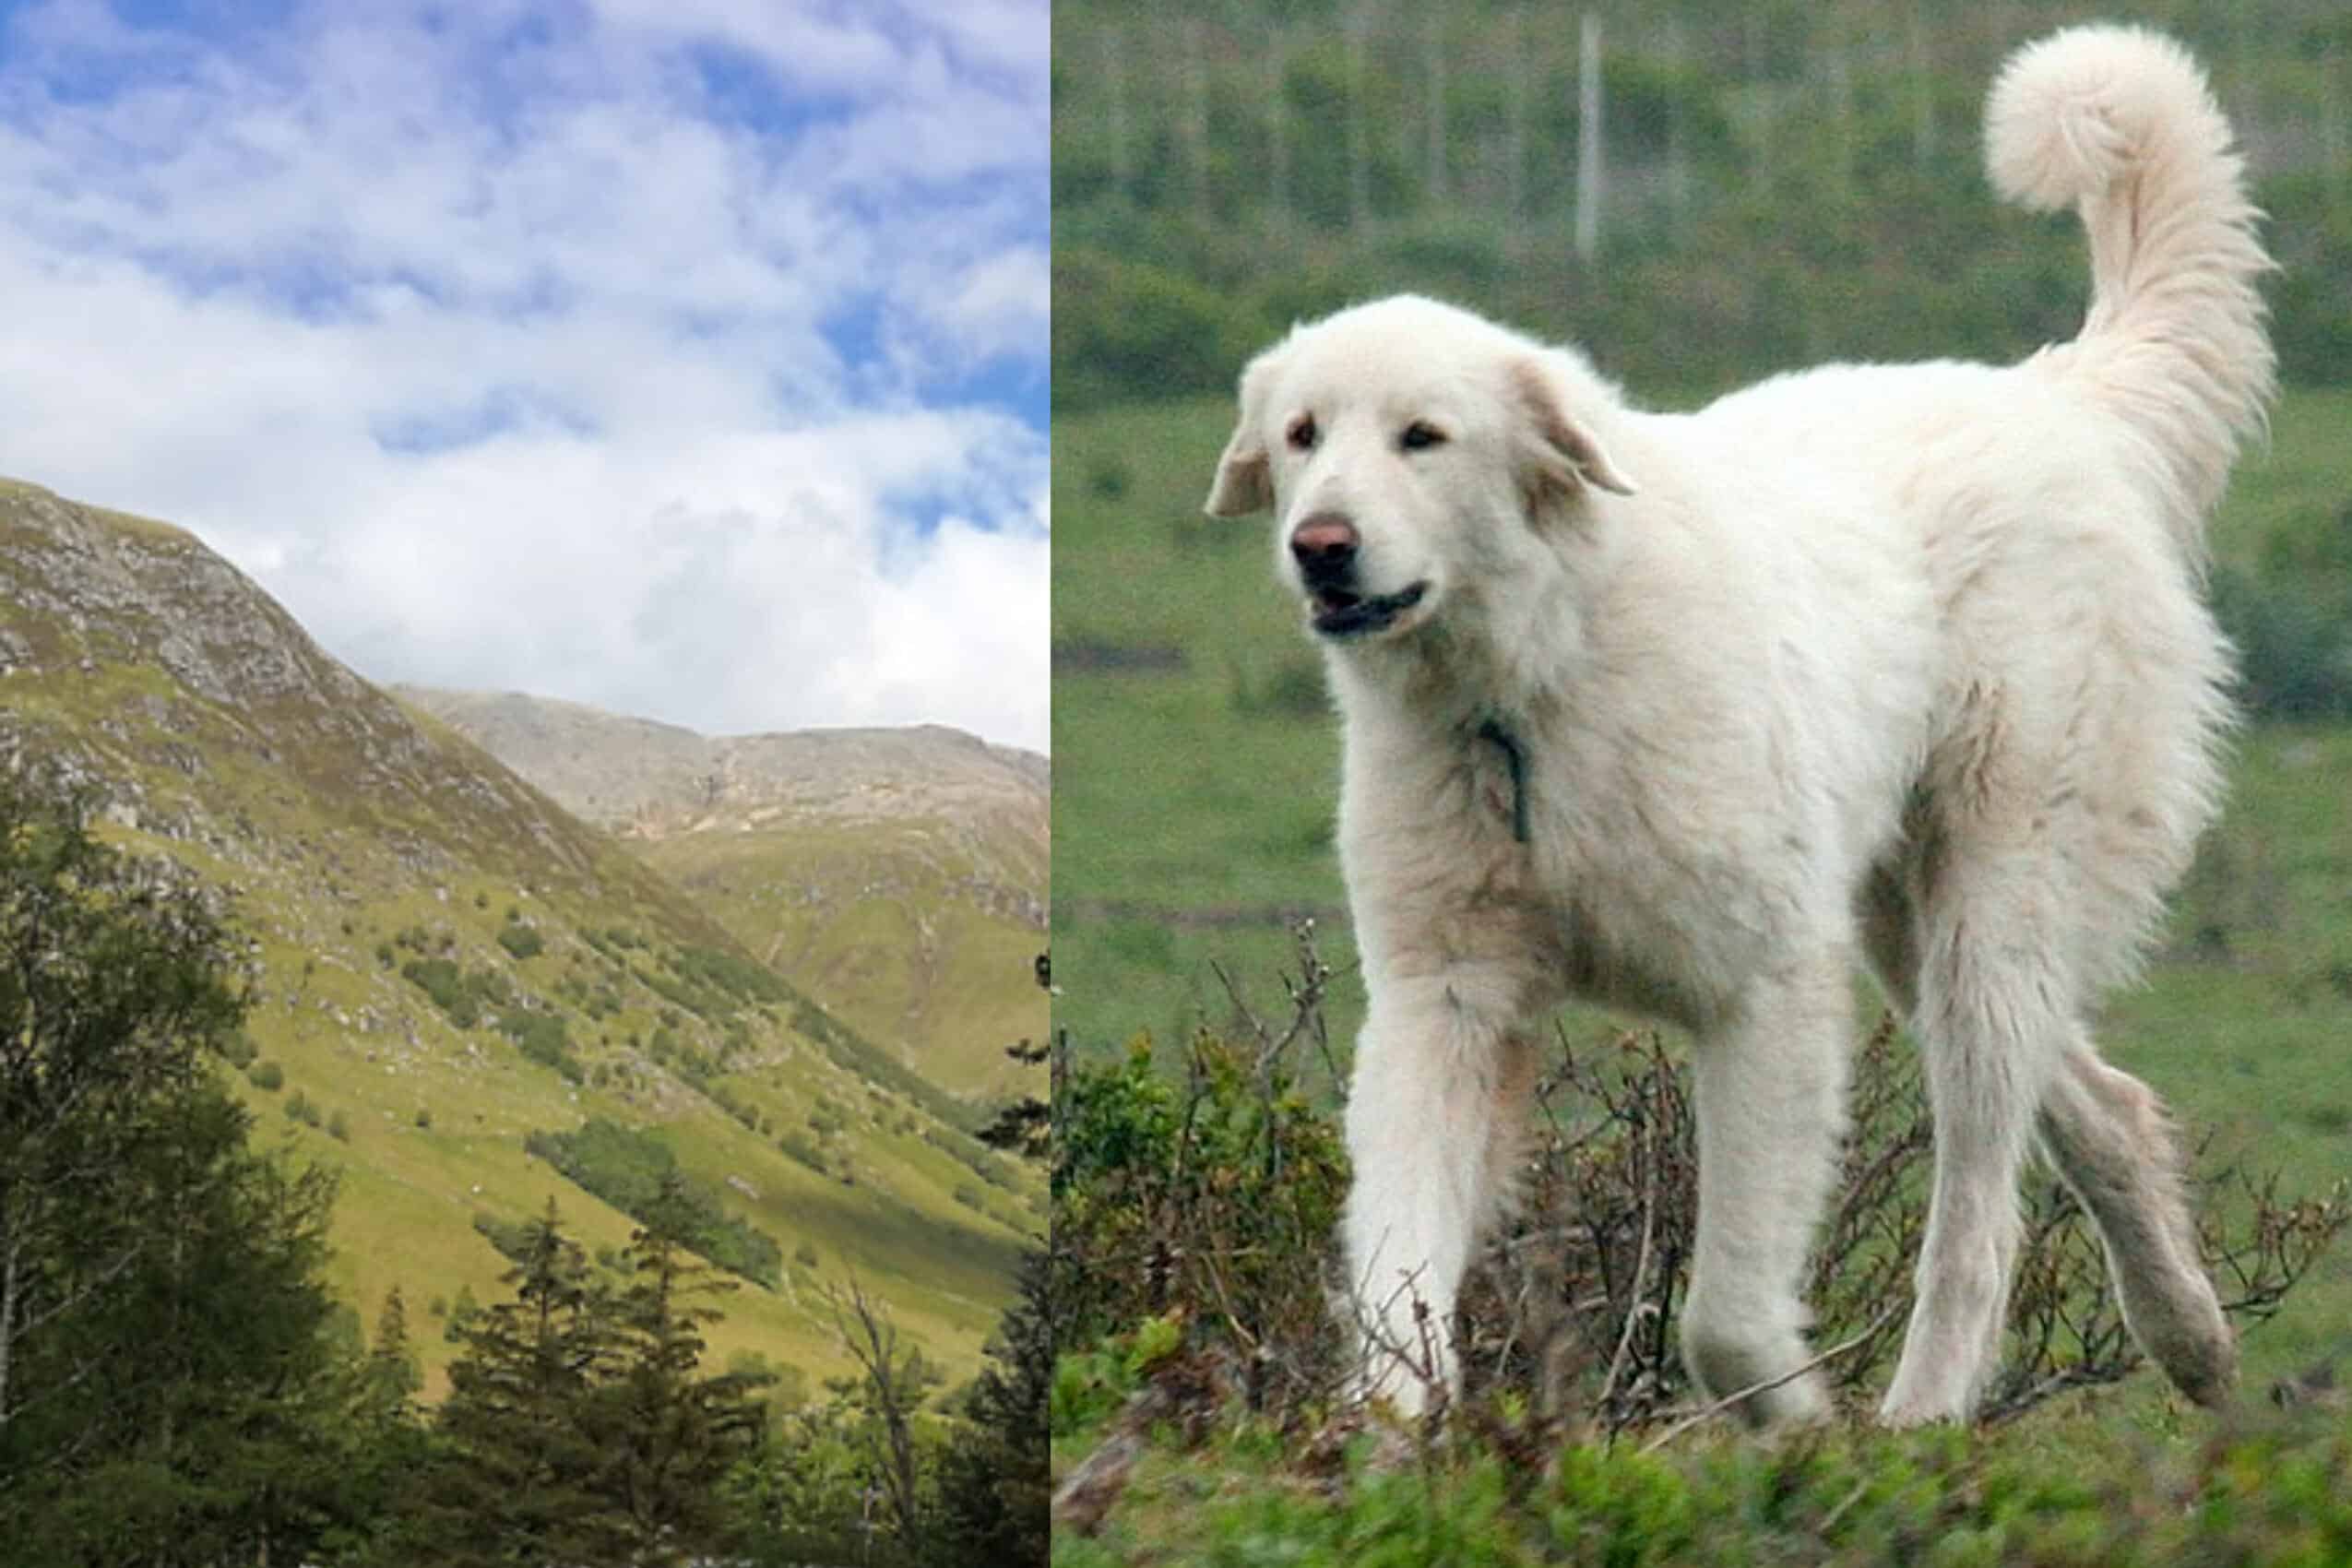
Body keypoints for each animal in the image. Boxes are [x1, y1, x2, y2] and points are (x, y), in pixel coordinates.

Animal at [1204, 24, 2267, 1429]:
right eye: (1301, 435)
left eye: (1421, 438)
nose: (1319, 546)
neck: (1534, 690)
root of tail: (2058, 397)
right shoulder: (1446, 1005)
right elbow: (1399, 1296)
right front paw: (1387, 1446)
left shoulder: (1764, 995)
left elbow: (1724, 1317)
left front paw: (1800, 1426)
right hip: (1903, 921)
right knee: (2106, 1108)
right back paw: (2189, 1336)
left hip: (1993, 908)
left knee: (1980, 1213)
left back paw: (1921, 1421)